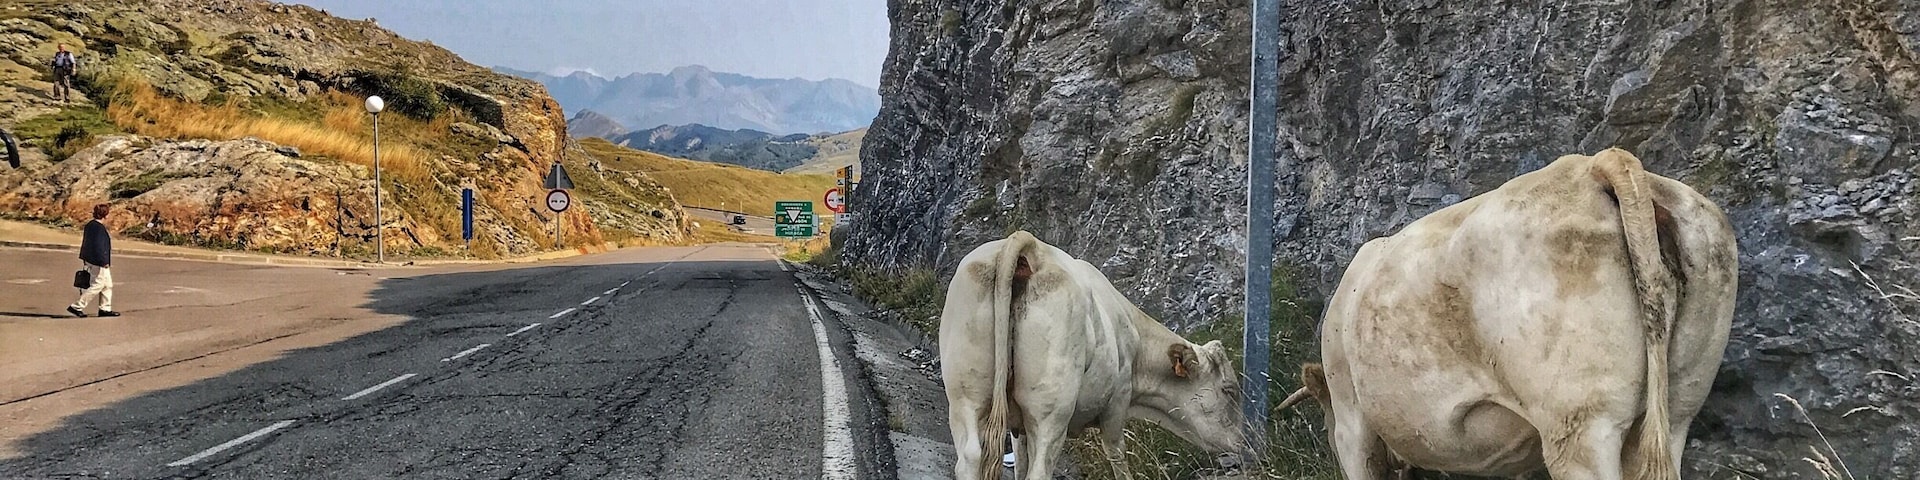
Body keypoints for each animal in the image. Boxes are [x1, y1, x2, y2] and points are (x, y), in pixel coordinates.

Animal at [940, 231, 1249, 480]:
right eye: (1230, 390)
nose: (1245, 442)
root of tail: (1030, 246)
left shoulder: (1019, 428)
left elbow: (1020, 462)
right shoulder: (1117, 401)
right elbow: (1116, 454)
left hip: (965, 394)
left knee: (970, 456)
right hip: (1051, 408)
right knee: (1040, 469)